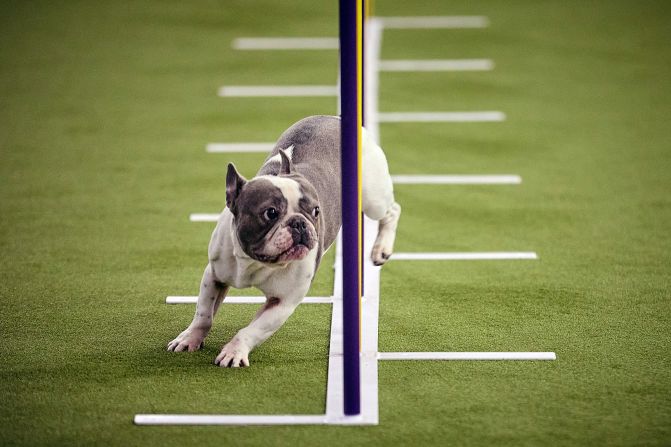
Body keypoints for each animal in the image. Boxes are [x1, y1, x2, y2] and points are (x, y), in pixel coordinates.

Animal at [166, 115, 402, 368]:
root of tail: (334, 118)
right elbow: (204, 314)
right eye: (270, 213)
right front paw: (190, 338)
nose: (299, 223)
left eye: (316, 211)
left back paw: (381, 249)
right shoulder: (214, 276)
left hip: (373, 198)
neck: (254, 261)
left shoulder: (283, 302)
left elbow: (251, 330)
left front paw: (234, 351)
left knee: (392, 210)